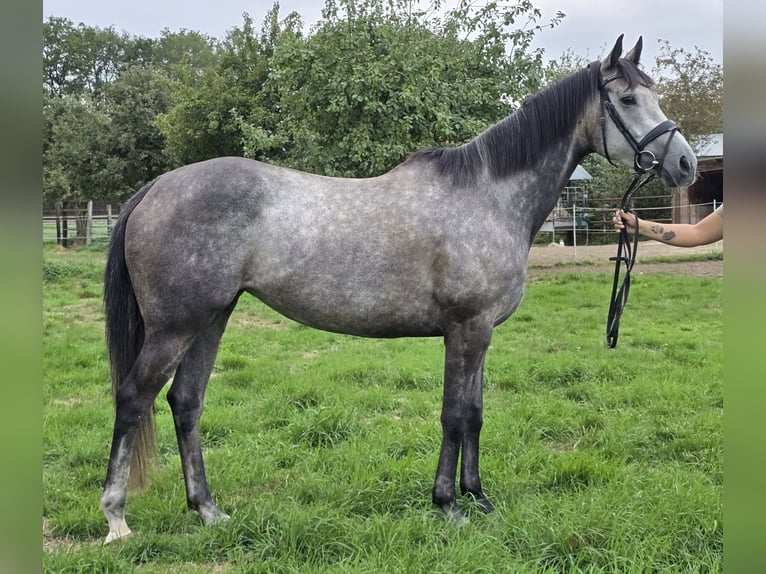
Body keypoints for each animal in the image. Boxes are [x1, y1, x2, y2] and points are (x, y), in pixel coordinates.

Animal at [100, 35, 696, 543]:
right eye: (627, 98)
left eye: (655, 94)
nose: (685, 163)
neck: (488, 196)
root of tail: (157, 187)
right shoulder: (465, 329)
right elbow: (454, 415)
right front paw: (448, 505)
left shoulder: (481, 334)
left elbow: (475, 413)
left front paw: (478, 498)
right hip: (174, 327)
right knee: (133, 400)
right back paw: (116, 519)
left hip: (211, 319)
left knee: (185, 403)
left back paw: (207, 509)